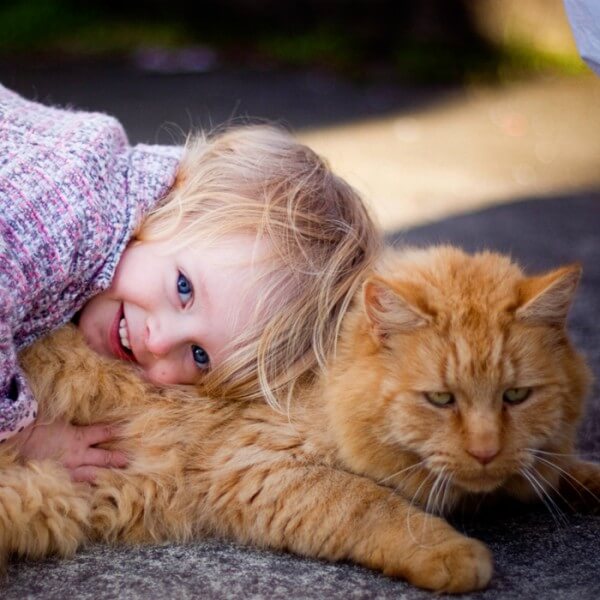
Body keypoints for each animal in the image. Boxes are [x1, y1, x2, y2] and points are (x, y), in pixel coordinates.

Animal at [0, 244, 596, 592]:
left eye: (516, 396)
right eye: (441, 400)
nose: (484, 450)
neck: (320, 371)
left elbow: (547, 467)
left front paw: (582, 477)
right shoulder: (255, 467)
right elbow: (373, 504)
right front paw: (451, 553)